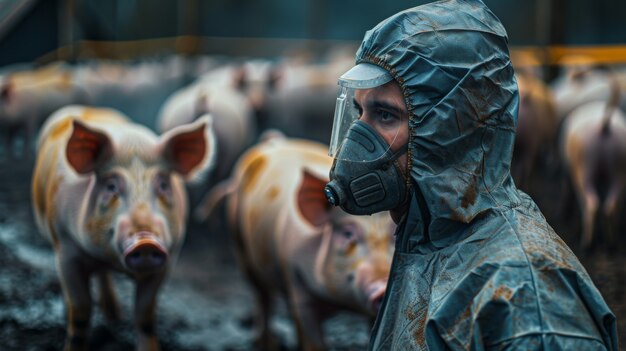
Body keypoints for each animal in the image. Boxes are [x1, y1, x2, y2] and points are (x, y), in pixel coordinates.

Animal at [31, 105, 214, 351]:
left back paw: (114, 315)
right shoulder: (66, 250)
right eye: (111, 186)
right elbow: (81, 311)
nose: (146, 241)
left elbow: (145, 316)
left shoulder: (168, 260)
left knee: (102, 275)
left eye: (163, 184)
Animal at [210, 134, 394, 350]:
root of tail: (275, 139)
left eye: (396, 234)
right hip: (240, 243)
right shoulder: (297, 282)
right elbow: (311, 336)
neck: (341, 304)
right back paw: (267, 343)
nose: (383, 285)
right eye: (348, 233)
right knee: (262, 295)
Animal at [560, 76, 624, 253]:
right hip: (619, 166)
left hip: (584, 165)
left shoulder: (568, 168)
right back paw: (611, 245)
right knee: (611, 204)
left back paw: (587, 246)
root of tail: (604, 125)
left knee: (591, 203)